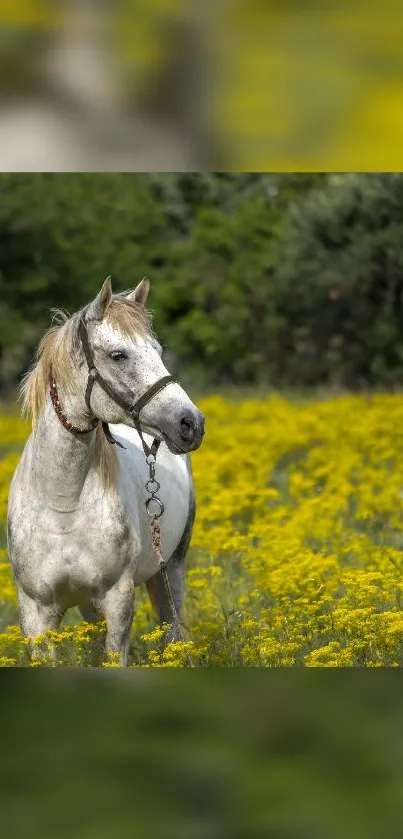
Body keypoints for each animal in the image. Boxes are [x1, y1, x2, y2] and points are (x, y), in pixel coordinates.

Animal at [7, 278, 205, 668]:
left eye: (158, 350)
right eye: (118, 355)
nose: (191, 423)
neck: (63, 504)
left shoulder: (117, 602)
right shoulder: (36, 613)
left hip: (171, 570)